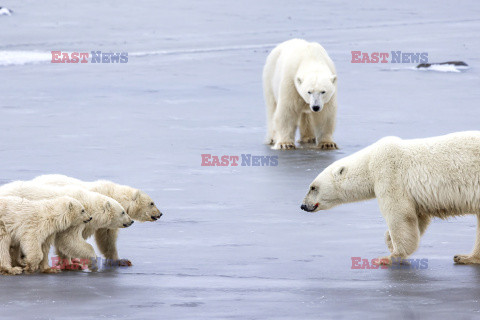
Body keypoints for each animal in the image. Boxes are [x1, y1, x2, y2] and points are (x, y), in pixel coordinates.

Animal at [0, 181, 132, 272]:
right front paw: (92, 263)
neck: (87, 204)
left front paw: (71, 264)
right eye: (123, 212)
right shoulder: (74, 220)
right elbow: (69, 240)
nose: (131, 221)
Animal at [302, 132, 480, 264]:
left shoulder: (390, 174)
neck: (370, 162)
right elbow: (418, 217)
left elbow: (400, 215)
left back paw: (464, 257)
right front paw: (389, 240)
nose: (303, 206)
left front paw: (389, 256)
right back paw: (465, 257)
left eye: (313, 187)